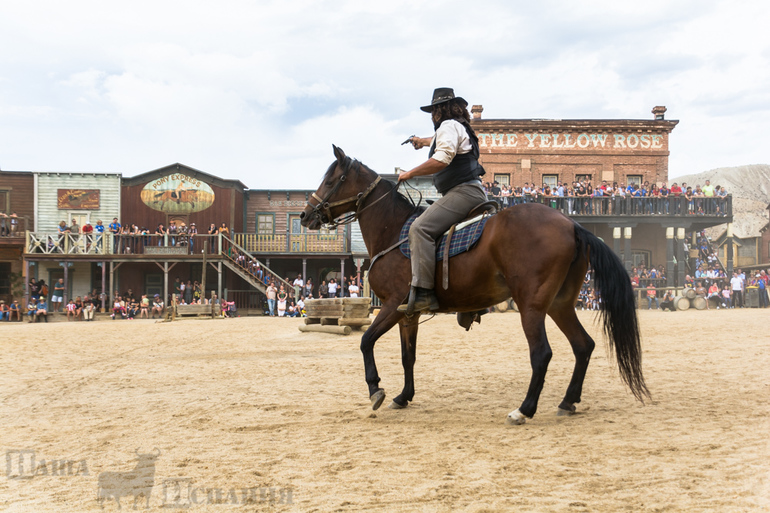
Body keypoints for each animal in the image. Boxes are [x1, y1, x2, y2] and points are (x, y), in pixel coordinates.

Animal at [296, 145, 644, 424]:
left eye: (331, 180)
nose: (305, 215)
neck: (393, 231)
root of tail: (572, 225)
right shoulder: (409, 312)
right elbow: (408, 356)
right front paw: (403, 396)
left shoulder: (393, 305)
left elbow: (366, 341)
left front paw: (375, 389)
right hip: (560, 305)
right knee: (583, 345)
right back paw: (567, 401)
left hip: (532, 306)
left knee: (542, 354)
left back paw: (525, 409)